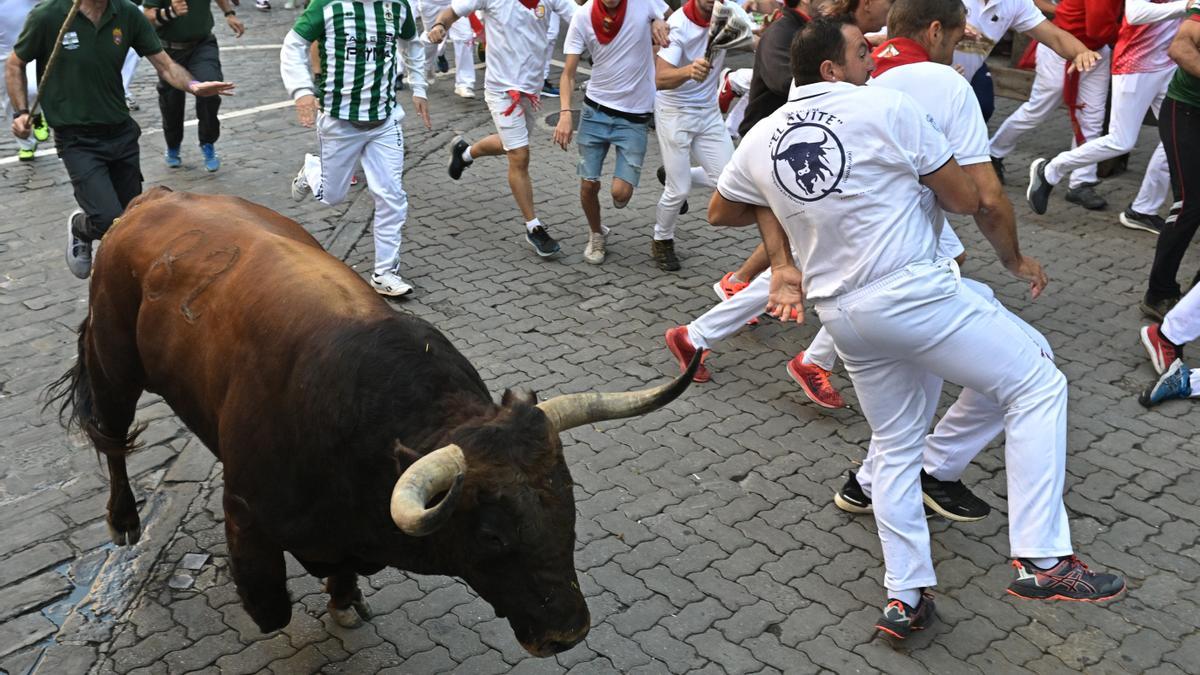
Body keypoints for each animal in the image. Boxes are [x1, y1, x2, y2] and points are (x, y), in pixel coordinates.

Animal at [49, 186, 700, 653]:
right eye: (491, 535)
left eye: (568, 506)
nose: (569, 630)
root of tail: (151, 201)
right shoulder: (246, 513)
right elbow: (271, 609)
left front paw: (343, 598)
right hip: (113, 365)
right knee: (112, 440)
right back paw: (124, 522)